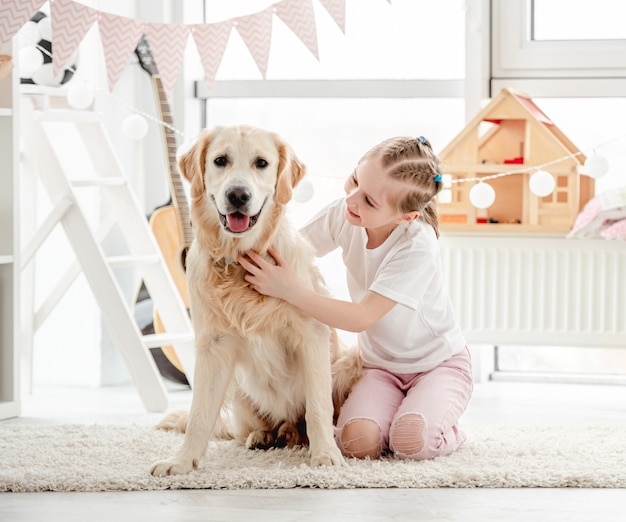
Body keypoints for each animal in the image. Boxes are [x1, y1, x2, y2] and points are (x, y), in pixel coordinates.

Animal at [148, 126, 358, 476]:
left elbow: (317, 407)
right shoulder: (213, 345)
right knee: (250, 427)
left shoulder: (311, 335)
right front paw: (182, 461)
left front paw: (326, 455)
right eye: (220, 160)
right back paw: (264, 435)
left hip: (346, 365)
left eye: (261, 163)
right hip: (238, 387)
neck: (240, 258)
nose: (238, 195)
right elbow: (199, 414)